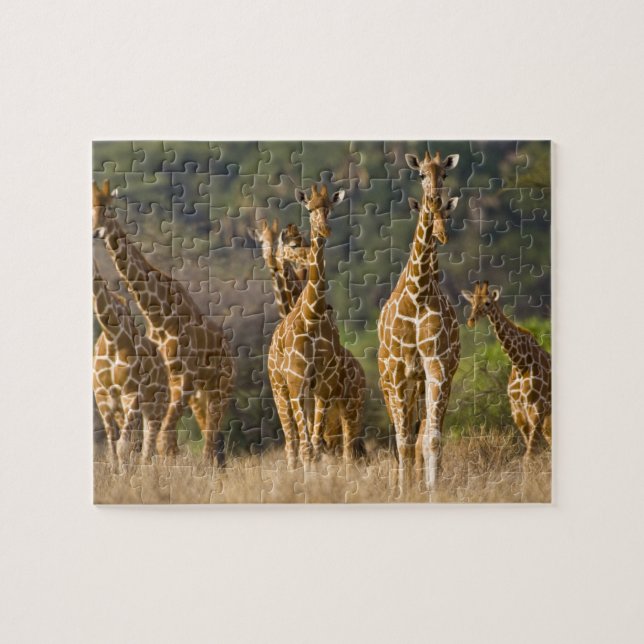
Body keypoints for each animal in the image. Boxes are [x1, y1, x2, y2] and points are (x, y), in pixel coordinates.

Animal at [92, 258, 170, 463]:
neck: (112, 336)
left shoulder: (131, 393)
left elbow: (122, 447)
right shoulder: (102, 397)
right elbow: (113, 450)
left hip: (156, 406)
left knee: (148, 449)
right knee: (138, 445)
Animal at [268, 184, 365, 468]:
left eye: (329, 208)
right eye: (310, 209)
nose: (324, 230)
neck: (312, 315)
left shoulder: (322, 388)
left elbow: (315, 446)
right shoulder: (296, 384)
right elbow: (306, 447)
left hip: (339, 402)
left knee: (342, 448)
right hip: (279, 389)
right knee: (291, 444)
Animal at [461, 280, 552, 457]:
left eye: (487, 303)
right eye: (472, 302)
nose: (471, 320)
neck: (521, 363)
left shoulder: (537, 408)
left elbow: (530, 455)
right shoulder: (517, 411)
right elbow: (530, 452)